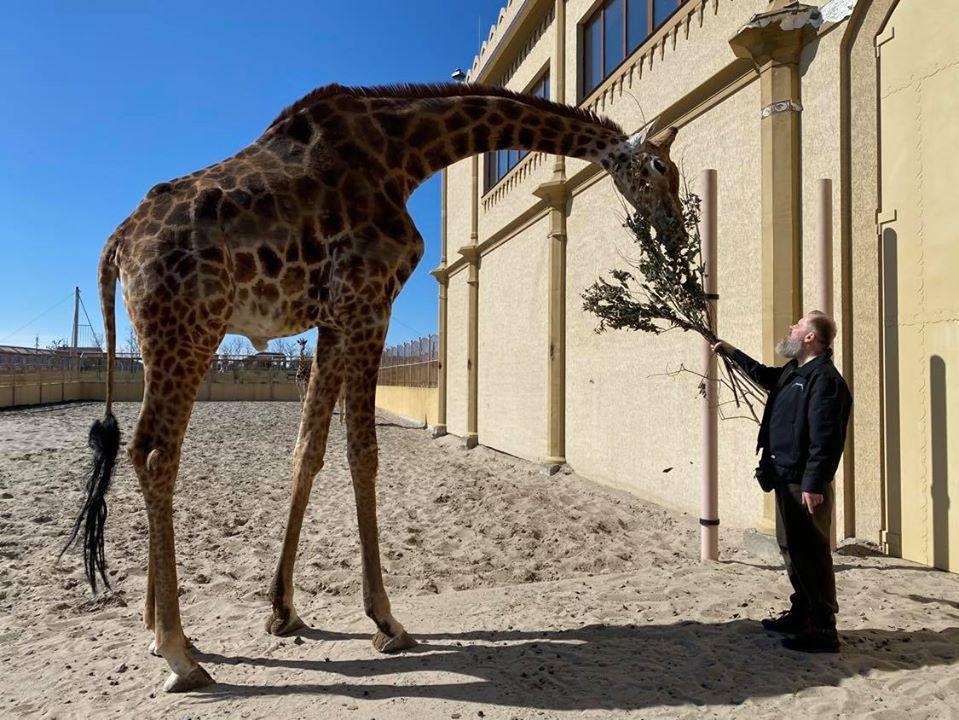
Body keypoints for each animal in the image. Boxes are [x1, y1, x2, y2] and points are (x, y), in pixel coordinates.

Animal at [63, 83, 688, 692]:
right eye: (660, 168)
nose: (674, 231)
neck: (404, 154)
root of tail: (117, 245)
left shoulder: (333, 319)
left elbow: (308, 450)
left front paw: (283, 611)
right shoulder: (368, 301)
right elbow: (363, 453)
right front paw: (387, 622)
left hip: (164, 339)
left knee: (147, 451)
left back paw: (162, 632)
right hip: (191, 328)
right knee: (155, 452)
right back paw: (178, 653)